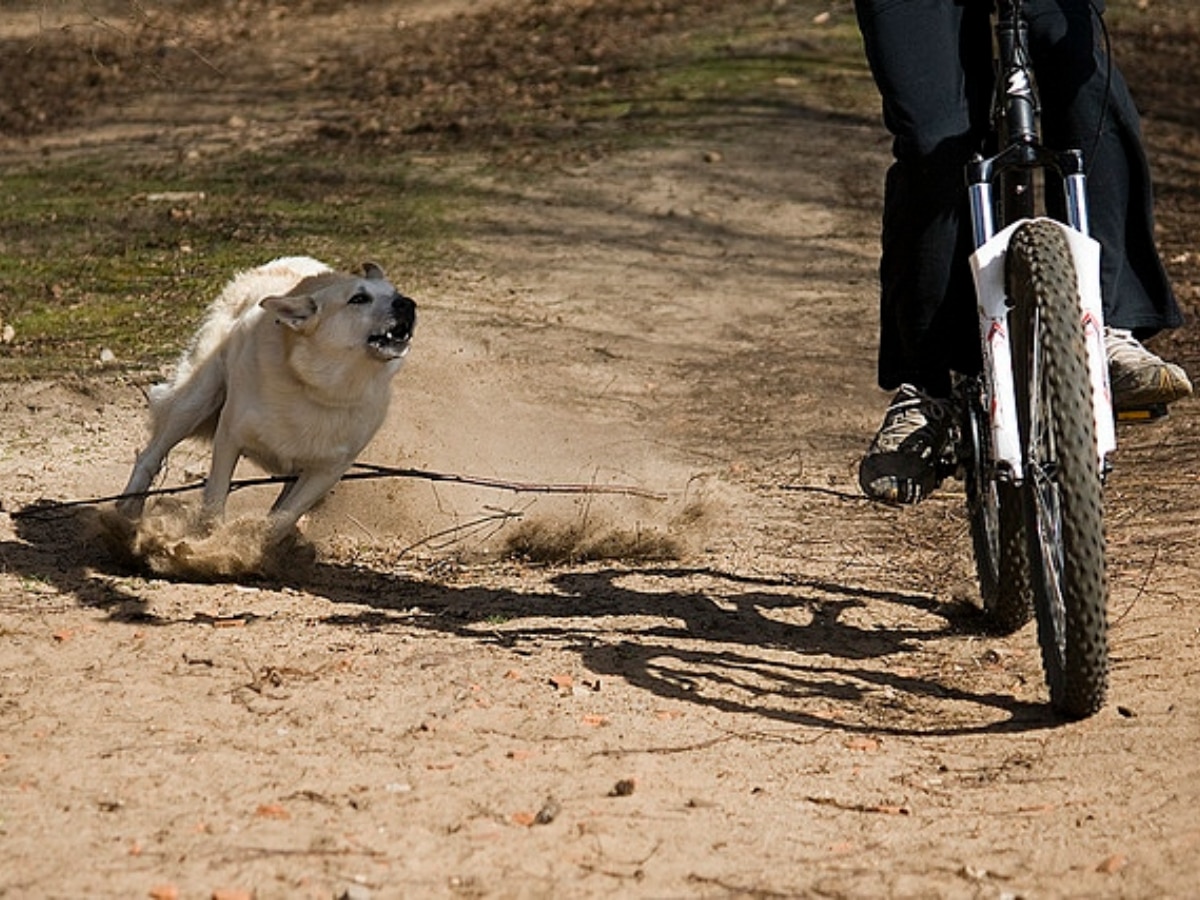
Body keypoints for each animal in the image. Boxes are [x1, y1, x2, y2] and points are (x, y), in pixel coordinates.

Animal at [118, 256, 417, 547]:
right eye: (359, 298)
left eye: (395, 293)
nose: (408, 304)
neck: (318, 389)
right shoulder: (229, 437)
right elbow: (215, 500)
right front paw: (209, 543)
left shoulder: (327, 470)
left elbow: (283, 516)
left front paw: (253, 544)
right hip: (195, 399)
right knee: (149, 456)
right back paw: (125, 513)